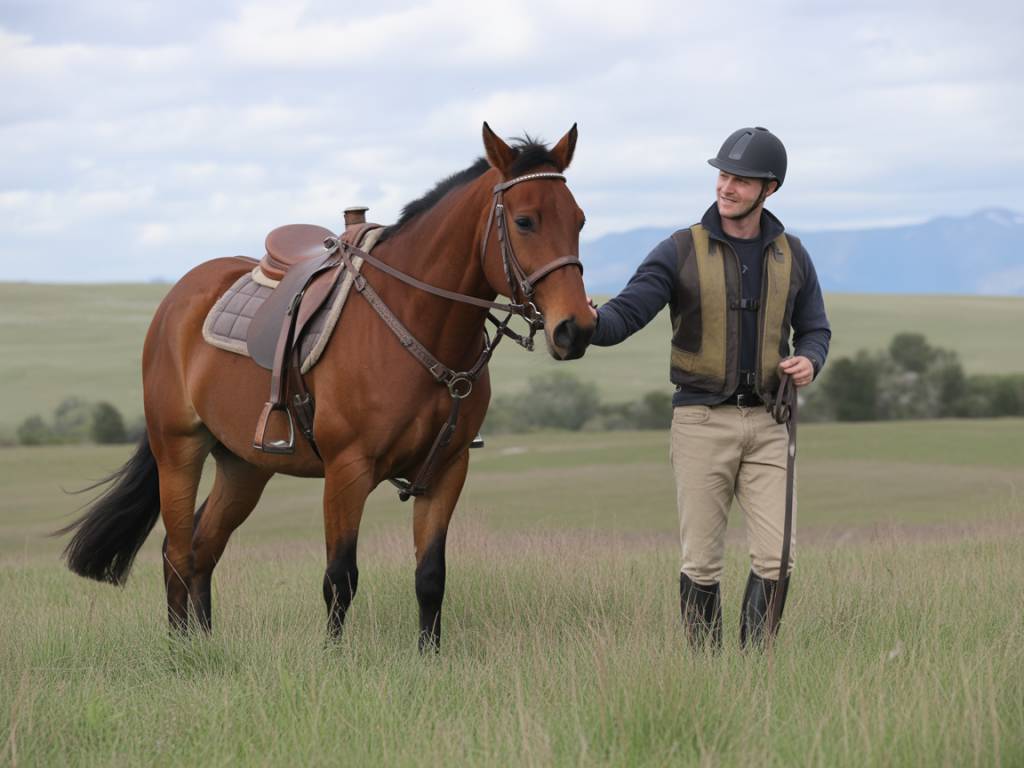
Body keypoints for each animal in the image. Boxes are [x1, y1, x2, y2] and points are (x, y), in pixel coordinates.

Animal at [59, 123, 594, 650]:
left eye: (580, 220)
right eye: (525, 221)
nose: (577, 328)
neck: (414, 321)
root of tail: (177, 298)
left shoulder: (447, 469)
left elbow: (430, 577)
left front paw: (430, 658)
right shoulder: (347, 470)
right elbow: (340, 577)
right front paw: (335, 660)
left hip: (244, 466)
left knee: (203, 546)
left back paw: (205, 647)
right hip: (179, 451)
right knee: (176, 552)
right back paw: (181, 653)